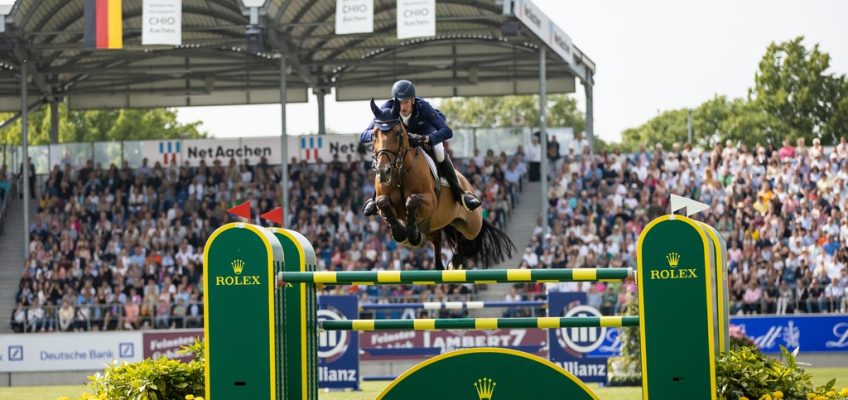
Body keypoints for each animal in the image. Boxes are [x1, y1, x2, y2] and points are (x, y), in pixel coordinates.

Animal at [366, 98, 512, 270]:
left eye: (398, 133)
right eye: (374, 135)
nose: (383, 171)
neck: (400, 172)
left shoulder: (430, 202)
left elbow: (412, 201)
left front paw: (412, 234)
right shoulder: (385, 203)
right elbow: (382, 202)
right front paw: (402, 233)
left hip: (472, 226)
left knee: (467, 239)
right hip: (436, 225)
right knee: (440, 239)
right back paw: (441, 262)